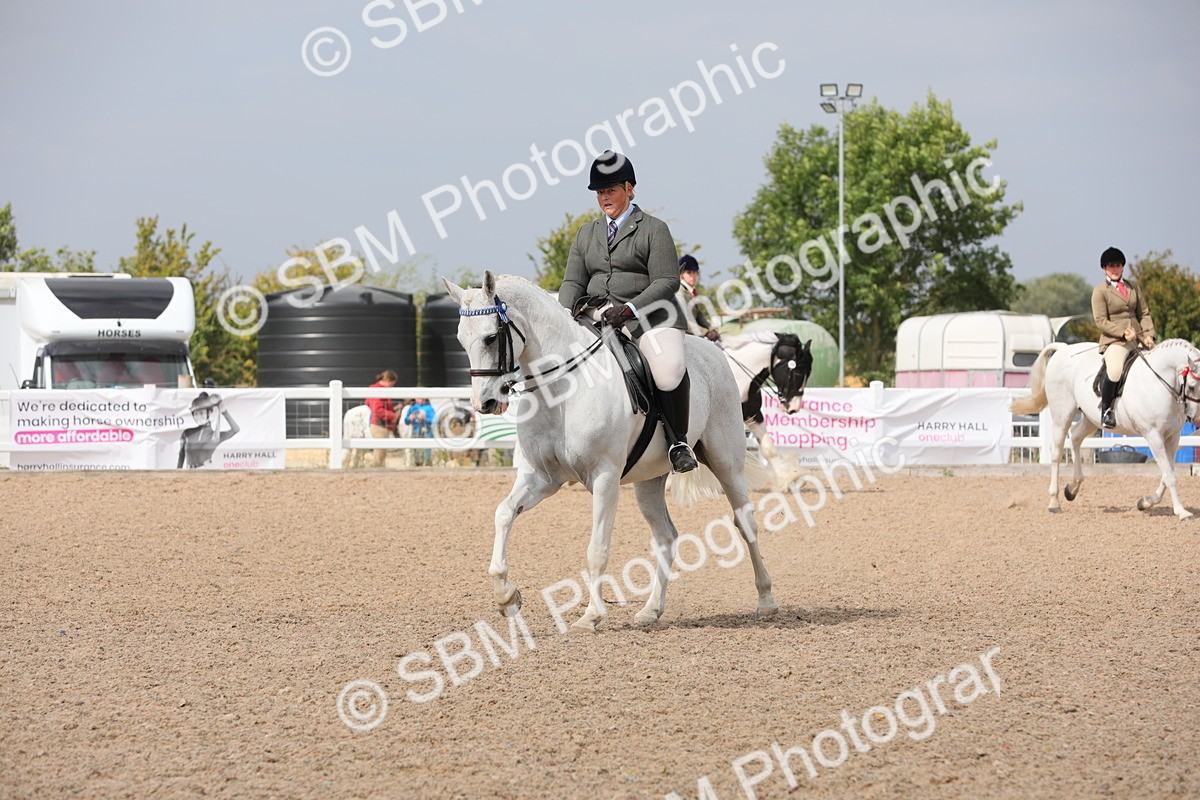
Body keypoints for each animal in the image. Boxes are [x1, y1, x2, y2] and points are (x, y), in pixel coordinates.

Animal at [443, 271, 778, 631]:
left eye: (491, 337)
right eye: (461, 340)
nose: (485, 403)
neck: (562, 390)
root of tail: (712, 350)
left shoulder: (604, 477)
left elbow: (597, 548)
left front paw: (590, 616)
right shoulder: (542, 478)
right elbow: (504, 513)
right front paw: (506, 596)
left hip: (726, 461)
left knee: (745, 522)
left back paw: (766, 600)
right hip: (649, 480)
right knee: (666, 537)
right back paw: (651, 610)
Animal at [1011, 339, 1200, 520]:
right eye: (1191, 386)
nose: (1194, 416)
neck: (1158, 382)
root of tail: (1064, 348)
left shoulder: (1173, 437)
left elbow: (1167, 474)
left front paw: (1146, 502)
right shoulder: (1153, 436)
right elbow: (1170, 476)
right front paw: (1181, 512)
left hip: (1091, 418)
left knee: (1075, 436)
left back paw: (1072, 488)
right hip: (1062, 415)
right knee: (1056, 451)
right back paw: (1054, 502)